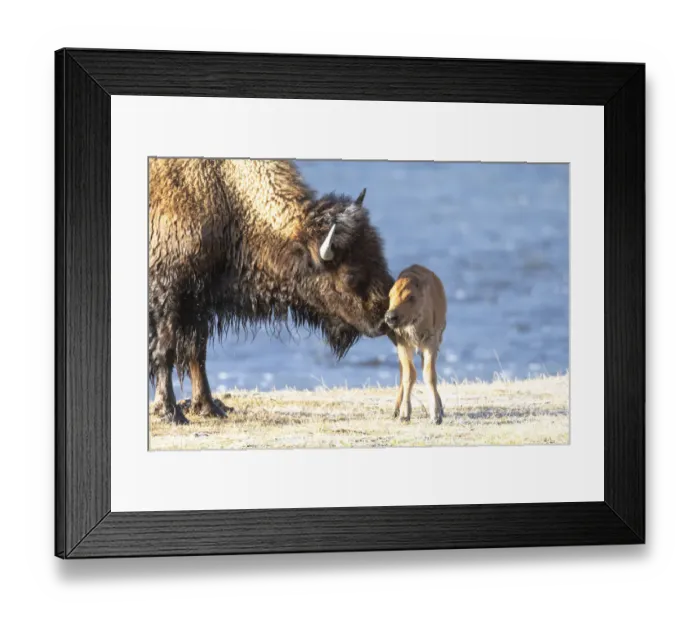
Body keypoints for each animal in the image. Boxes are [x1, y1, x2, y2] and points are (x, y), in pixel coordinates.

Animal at [148, 158, 394, 424]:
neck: (226, 193)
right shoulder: (169, 296)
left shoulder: (199, 302)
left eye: (379, 254)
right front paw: (170, 412)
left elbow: (197, 353)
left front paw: (209, 407)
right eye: (350, 275)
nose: (384, 318)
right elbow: (166, 351)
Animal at [384, 264, 447, 425]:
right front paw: (404, 414)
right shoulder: (403, 343)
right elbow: (409, 374)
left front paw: (436, 415)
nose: (390, 317)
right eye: (390, 296)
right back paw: (396, 410)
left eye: (411, 297)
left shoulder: (431, 342)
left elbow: (429, 374)